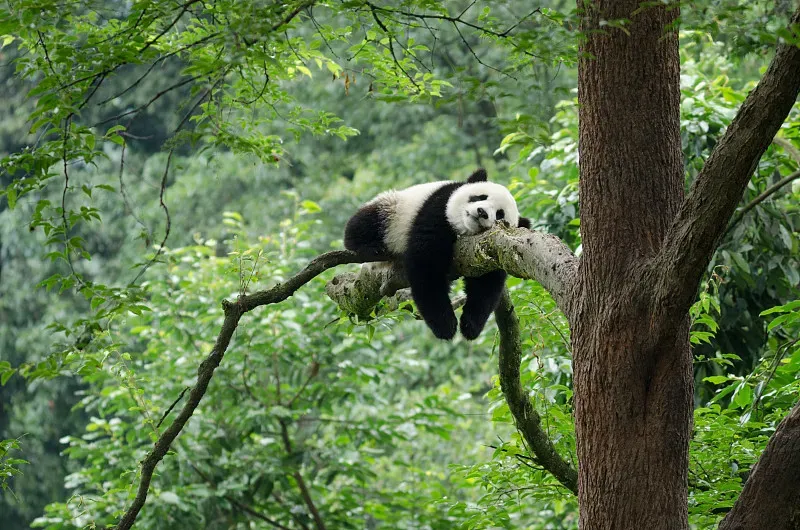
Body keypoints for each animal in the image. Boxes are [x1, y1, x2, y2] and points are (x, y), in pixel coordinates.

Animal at [344, 168, 531, 340]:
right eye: (480, 197)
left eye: (500, 214)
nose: (481, 212)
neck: (463, 230)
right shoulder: (439, 208)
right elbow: (427, 264)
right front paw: (445, 325)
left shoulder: (493, 250)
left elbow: (487, 285)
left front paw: (470, 325)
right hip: (394, 211)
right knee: (365, 221)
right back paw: (369, 247)